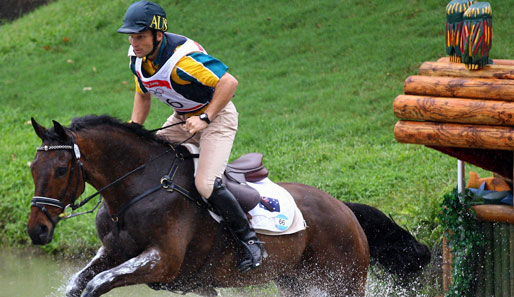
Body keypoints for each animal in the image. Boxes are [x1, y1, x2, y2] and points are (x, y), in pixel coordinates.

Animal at [27, 114, 428, 294]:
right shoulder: (114, 253)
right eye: (32, 167)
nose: (37, 231)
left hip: (343, 280)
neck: (134, 190)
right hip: (296, 280)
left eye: (61, 169)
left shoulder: (161, 262)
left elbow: (98, 284)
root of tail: (344, 208)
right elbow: (80, 282)